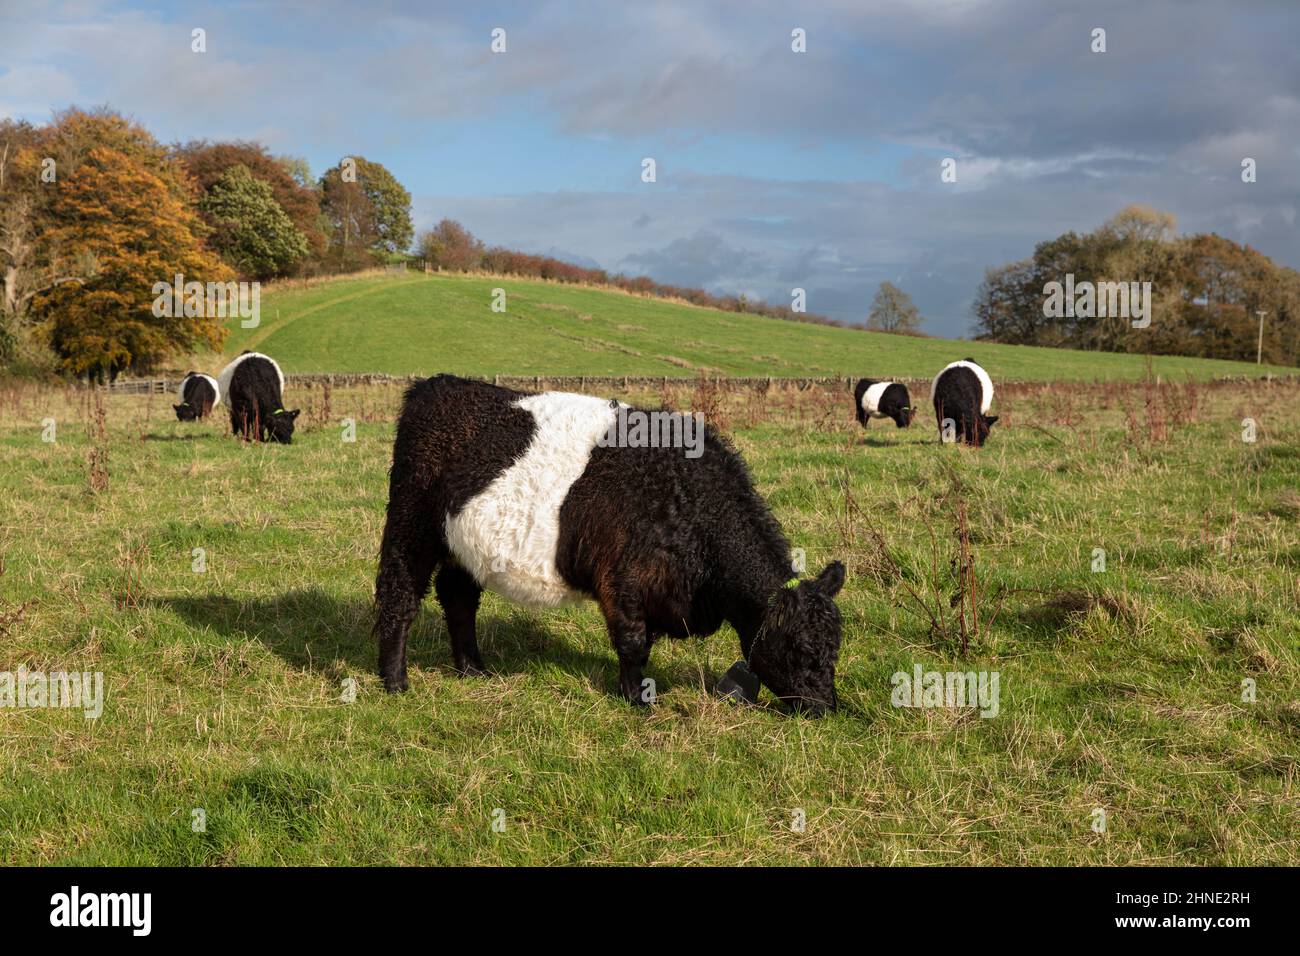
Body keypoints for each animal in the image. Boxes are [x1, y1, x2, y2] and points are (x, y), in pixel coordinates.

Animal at [371, 374, 847, 717]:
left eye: (835, 648)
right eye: (803, 649)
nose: (825, 708)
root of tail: (435, 385)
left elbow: (644, 643)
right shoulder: (624, 580)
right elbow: (634, 643)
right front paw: (639, 701)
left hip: (465, 543)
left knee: (458, 598)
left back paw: (473, 670)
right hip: (411, 523)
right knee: (400, 596)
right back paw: (395, 682)